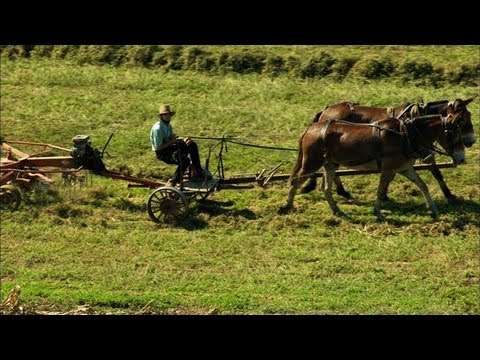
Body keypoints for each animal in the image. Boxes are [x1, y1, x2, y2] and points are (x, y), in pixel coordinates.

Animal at [280, 112, 466, 221]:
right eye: (455, 134)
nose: (461, 158)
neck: (406, 134)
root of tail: (310, 129)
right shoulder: (388, 169)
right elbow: (381, 190)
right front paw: (378, 212)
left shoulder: (405, 168)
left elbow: (423, 185)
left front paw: (433, 210)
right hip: (312, 162)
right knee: (296, 180)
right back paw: (286, 206)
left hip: (330, 164)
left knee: (325, 188)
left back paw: (337, 210)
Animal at [302, 95, 478, 201]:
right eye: (461, 121)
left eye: (469, 116)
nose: (471, 141)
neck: (414, 122)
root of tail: (326, 110)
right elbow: (434, 172)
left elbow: (436, 173)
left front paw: (449, 194)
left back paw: (340, 191)